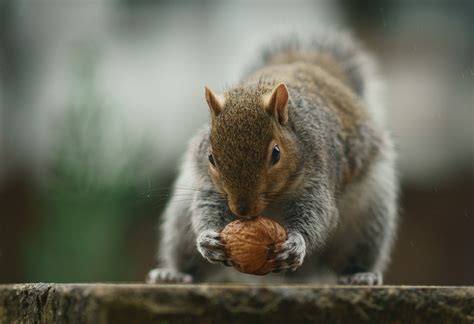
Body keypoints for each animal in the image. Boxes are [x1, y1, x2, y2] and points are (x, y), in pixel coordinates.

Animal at [147, 30, 396, 284]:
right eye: (210, 158)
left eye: (276, 154)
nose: (243, 211)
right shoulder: (209, 184)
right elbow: (206, 206)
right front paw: (207, 239)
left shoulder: (318, 174)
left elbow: (317, 214)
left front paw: (296, 243)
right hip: (180, 224)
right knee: (186, 256)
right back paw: (174, 274)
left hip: (368, 218)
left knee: (360, 252)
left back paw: (360, 274)